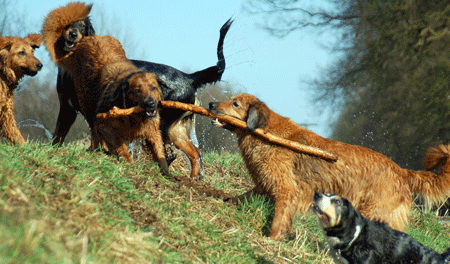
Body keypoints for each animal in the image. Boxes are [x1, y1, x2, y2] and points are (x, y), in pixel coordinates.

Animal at [41, 2, 169, 175]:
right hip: (86, 103)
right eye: (137, 90)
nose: (150, 104)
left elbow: (161, 157)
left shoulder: (153, 131)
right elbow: (119, 147)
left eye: (154, 88)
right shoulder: (92, 119)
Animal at [209, 93, 450, 239]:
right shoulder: (263, 186)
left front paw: (271, 239)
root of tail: (402, 171)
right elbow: (239, 197)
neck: (264, 131)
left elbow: (278, 220)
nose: (210, 104)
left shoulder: (286, 190)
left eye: (235, 103)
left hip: (370, 212)